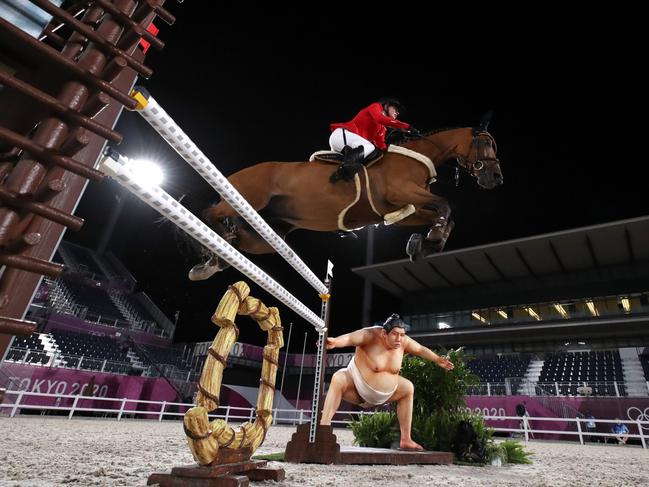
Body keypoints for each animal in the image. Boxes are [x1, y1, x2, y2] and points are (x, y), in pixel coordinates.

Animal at [187, 116, 502, 280]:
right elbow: (447, 205)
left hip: (267, 234)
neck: (417, 156)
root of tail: (234, 174)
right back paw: (213, 245)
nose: (496, 179)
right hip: (247, 199)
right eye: (486, 143)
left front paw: (423, 245)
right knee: (210, 213)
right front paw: (432, 240)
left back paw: (213, 260)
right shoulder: (401, 191)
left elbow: (443, 215)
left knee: (236, 237)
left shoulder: (402, 211)